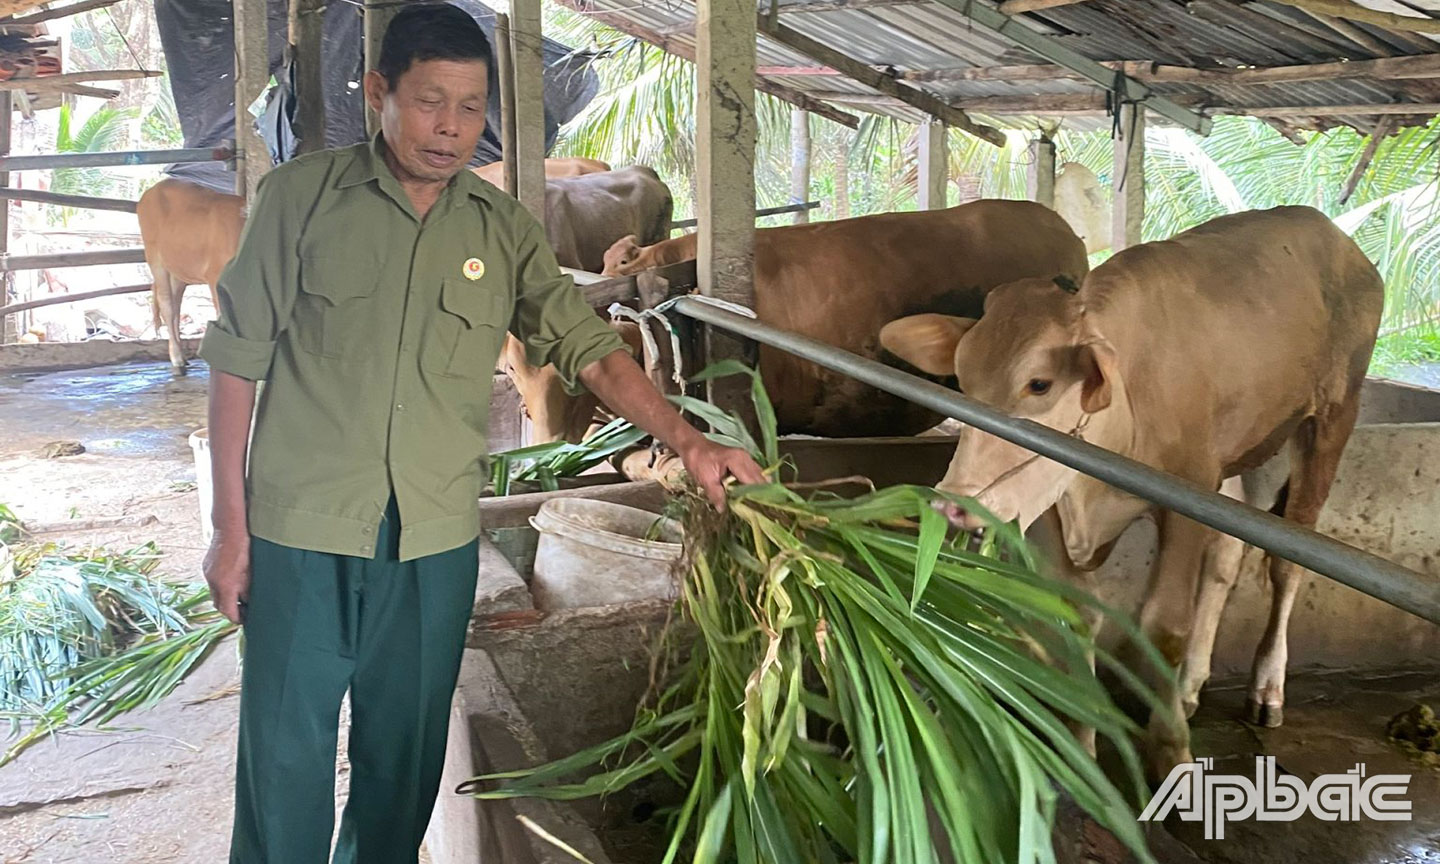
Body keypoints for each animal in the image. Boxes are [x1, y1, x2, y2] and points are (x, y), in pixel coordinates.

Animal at [136, 177, 246, 371]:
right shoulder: (214, 276)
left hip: (178, 270)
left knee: (176, 305)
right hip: (155, 257)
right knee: (167, 304)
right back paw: (177, 359)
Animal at [875, 205, 1382, 777]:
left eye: (1039, 384)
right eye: (962, 381)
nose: (954, 503)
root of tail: (1331, 232)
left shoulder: (1188, 498)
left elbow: (1165, 625)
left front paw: (1171, 751)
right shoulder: (1049, 509)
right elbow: (1076, 614)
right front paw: (1085, 742)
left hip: (1330, 420)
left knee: (1285, 562)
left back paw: (1266, 687)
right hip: (1239, 459)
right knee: (1226, 557)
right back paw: (1190, 687)